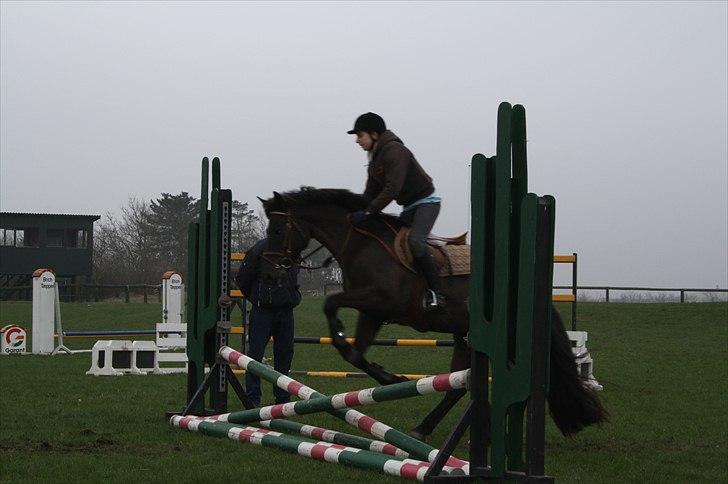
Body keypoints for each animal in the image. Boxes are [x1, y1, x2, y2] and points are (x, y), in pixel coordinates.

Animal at [258, 187, 607, 440]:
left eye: (277, 229)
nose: (272, 274)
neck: (360, 244)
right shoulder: (371, 312)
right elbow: (354, 354)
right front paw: (389, 377)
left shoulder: (380, 302)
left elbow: (331, 305)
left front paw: (385, 373)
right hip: (464, 337)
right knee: (458, 386)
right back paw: (429, 428)